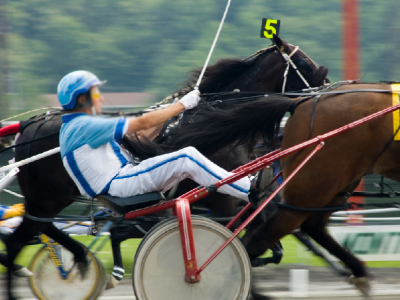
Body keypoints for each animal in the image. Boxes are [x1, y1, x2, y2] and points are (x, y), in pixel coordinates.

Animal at [2, 35, 328, 300]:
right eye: (303, 62)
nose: (326, 87)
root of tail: (31, 124)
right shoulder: (221, 204)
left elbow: (269, 243)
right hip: (48, 198)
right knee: (18, 242)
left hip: (47, 201)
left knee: (42, 229)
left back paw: (79, 256)